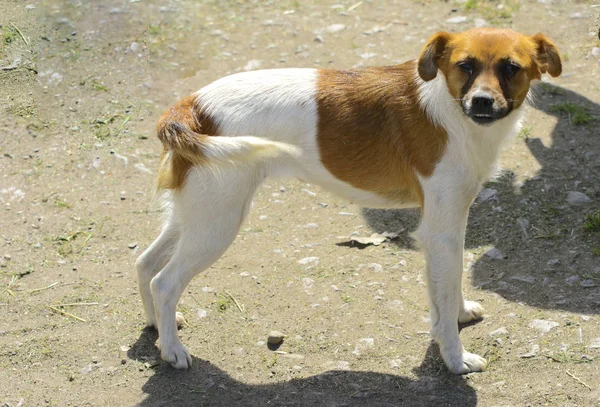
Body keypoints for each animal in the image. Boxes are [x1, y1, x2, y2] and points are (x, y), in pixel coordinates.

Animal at [137, 27, 564, 374]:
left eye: (511, 68)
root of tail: (192, 106)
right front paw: (456, 360)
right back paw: (173, 351)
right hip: (218, 223)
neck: (452, 110)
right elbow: (443, 300)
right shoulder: (439, 231)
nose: (482, 102)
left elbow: (449, 284)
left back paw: (158, 327)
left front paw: (458, 314)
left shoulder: (450, 226)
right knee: (165, 282)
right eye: (465, 66)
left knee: (145, 263)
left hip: (194, 215)